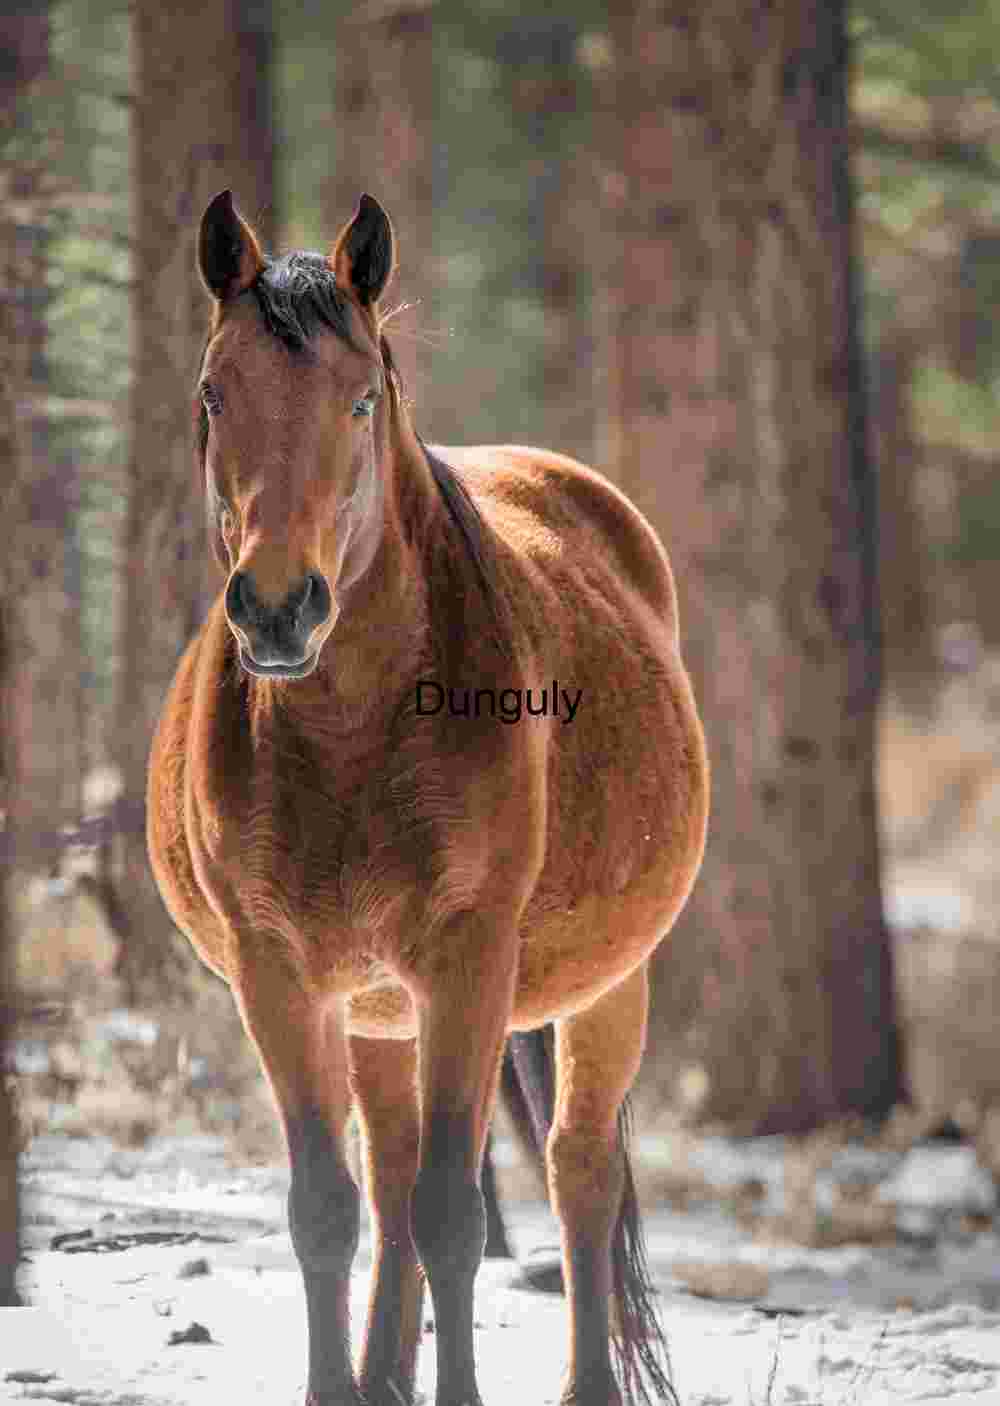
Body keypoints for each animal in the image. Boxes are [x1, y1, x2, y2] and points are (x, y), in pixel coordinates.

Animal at [147, 189, 709, 1406]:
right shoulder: (281, 974)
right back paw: (380, 1373)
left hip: (608, 986)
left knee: (578, 1173)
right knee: (393, 1174)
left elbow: (456, 1215)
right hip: (375, 1010)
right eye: (215, 392)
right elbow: (330, 1210)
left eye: (359, 398)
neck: (352, 737)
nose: (277, 610)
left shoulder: (466, 964)